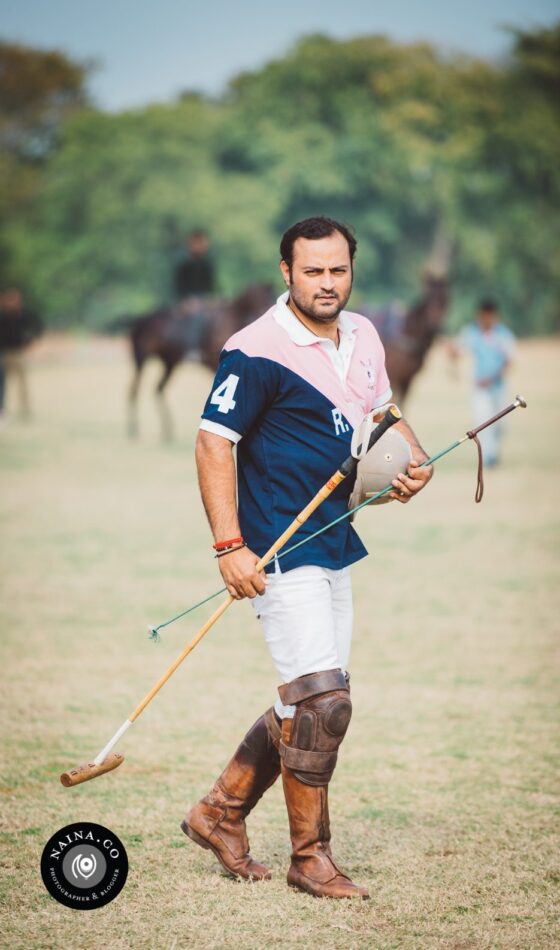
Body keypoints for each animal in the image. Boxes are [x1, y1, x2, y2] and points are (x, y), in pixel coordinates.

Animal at [125, 284, 274, 440]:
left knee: (158, 388)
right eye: (265, 299)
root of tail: (141, 321)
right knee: (134, 389)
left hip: (169, 363)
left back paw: (167, 430)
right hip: (141, 359)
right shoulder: (216, 363)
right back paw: (133, 429)